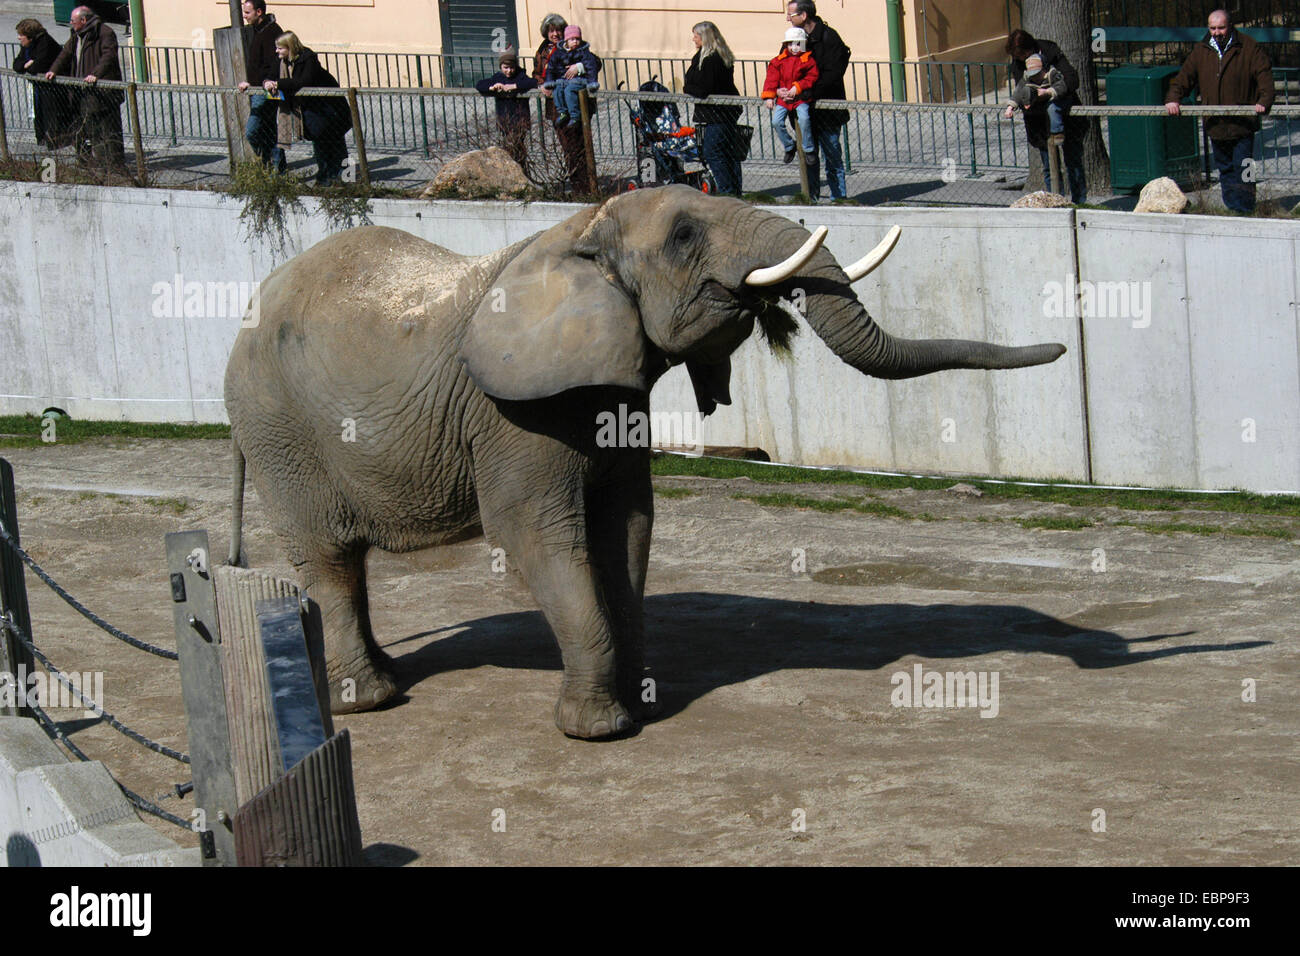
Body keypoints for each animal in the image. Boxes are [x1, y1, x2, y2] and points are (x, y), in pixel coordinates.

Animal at [220, 187, 1055, 738]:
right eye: (684, 235)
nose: (1058, 348)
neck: (579, 227)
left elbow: (627, 529)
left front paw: (639, 699)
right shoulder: (514, 414)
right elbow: (536, 536)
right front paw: (599, 728)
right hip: (276, 427)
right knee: (329, 560)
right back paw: (371, 701)